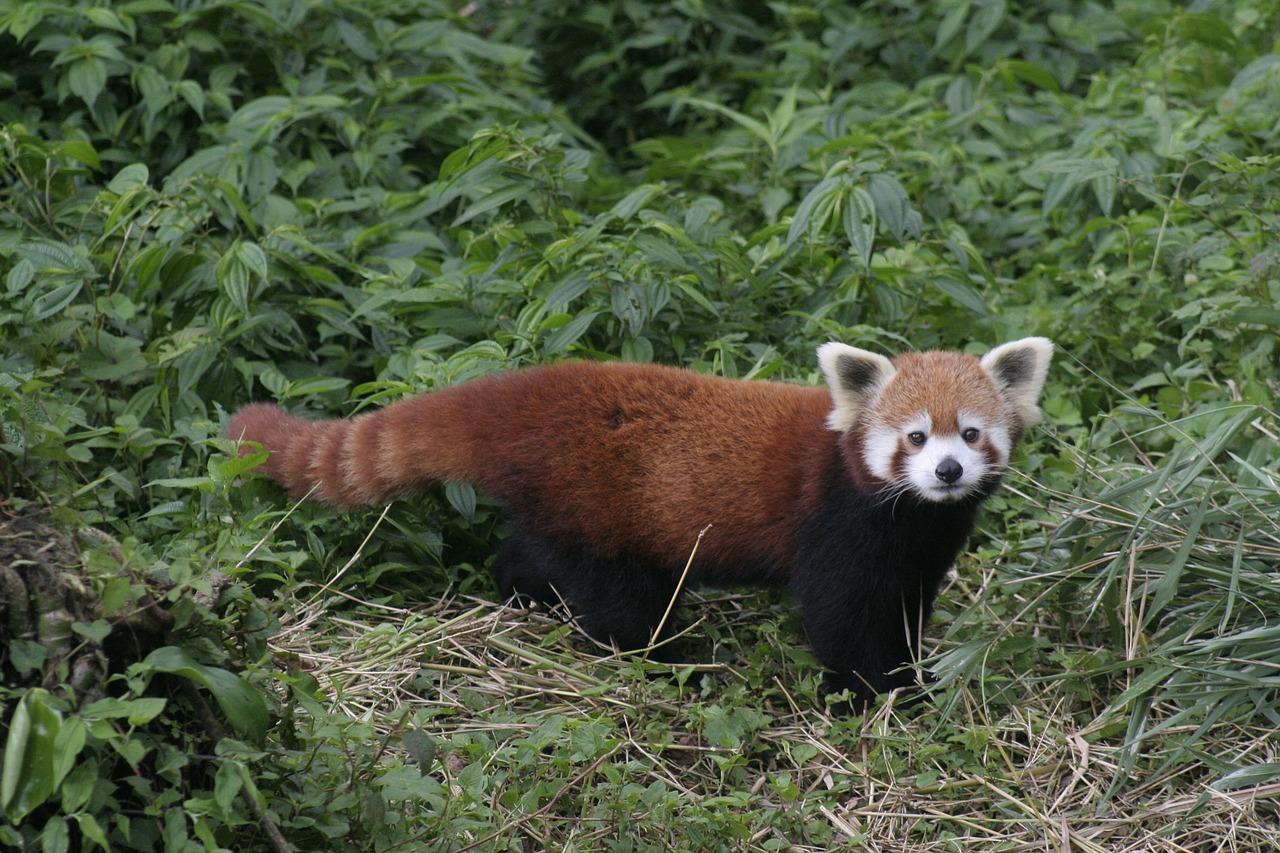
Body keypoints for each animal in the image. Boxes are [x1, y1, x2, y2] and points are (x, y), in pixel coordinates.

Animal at [227, 338, 1049, 701]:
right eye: (913, 438)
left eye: (970, 434)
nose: (947, 472)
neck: (905, 516)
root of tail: (525, 395)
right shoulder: (833, 524)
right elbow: (838, 618)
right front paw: (877, 691)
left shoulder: (920, 545)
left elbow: (905, 606)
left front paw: (914, 671)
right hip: (600, 507)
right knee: (620, 600)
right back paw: (670, 658)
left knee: (529, 554)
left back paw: (526, 595)